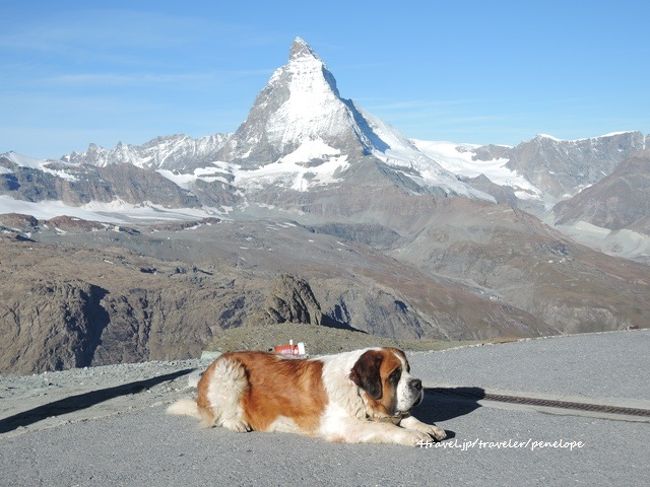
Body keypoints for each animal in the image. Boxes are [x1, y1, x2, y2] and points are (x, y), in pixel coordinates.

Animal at [168, 346, 446, 446]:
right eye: (394, 375)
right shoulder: (344, 425)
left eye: (408, 369)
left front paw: (428, 427)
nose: (418, 384)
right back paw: (237, 422)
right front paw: (414, 436)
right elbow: (387, 428)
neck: (357, 392)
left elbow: (405, 418)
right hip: (230, 369)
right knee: (220, 414)